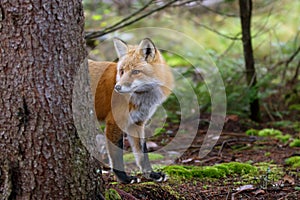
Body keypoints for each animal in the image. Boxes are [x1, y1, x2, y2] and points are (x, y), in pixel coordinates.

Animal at [88, 38, 173, 184]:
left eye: (135, 72)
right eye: (122, 71)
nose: (117, 87)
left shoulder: (138, 123)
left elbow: (142, 154)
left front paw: (152, 174)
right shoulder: (114, 122)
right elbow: (117, 156)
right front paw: (124, 178)